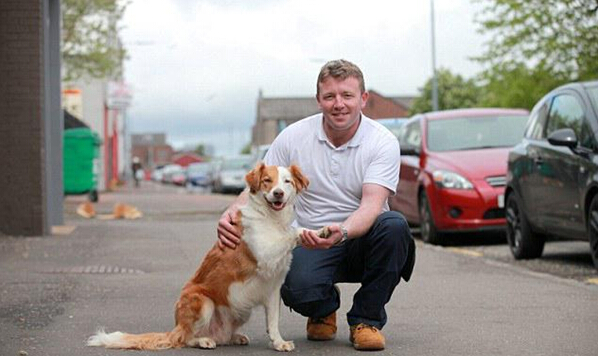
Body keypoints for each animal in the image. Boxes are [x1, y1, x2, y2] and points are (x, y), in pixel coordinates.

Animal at [88, 165, 310, 354]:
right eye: (267, 181)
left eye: (287, 182)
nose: (278, 193)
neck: (271, 219)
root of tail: (177, 327)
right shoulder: (264, 252)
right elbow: (290, 233)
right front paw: (313, 232)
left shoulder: (272, 288)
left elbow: (273, 322)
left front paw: (278, 343)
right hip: (203, 302)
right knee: (184, 339)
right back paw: (203, 340)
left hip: (238, 309)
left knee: (220, 336)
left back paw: (233, 337)